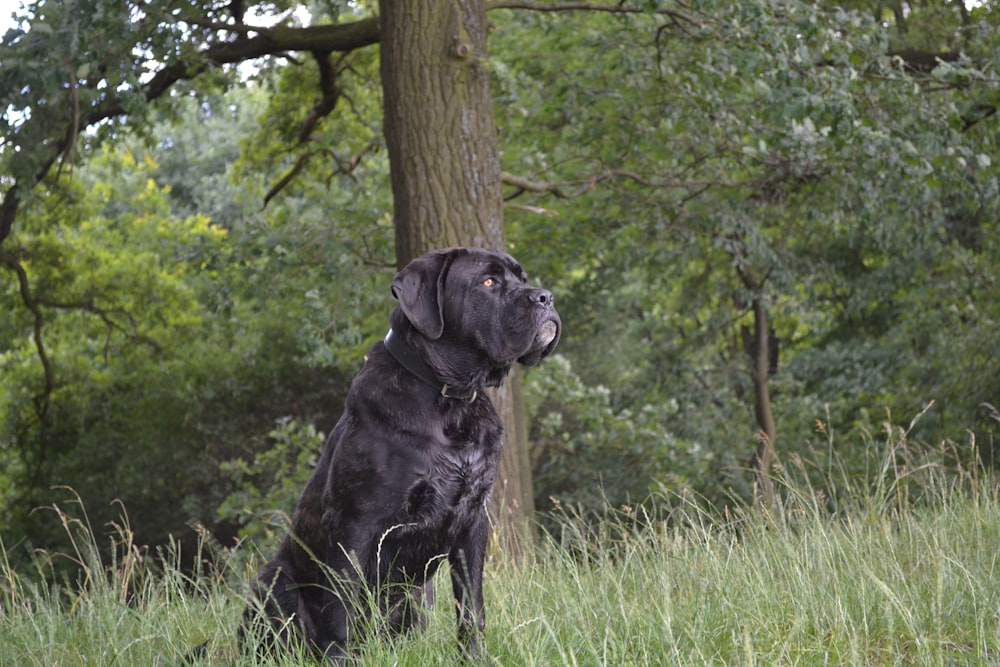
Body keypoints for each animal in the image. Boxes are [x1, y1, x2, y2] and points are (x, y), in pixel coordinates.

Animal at [239, 249, 560, 664]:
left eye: (522, 277)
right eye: (488, 282)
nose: (546, 297)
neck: (450, 399)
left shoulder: (473, 523)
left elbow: (471, 607)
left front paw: (473, 657)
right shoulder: (355, 526)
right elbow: (341, 613)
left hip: (418, 597)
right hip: (274, 582)